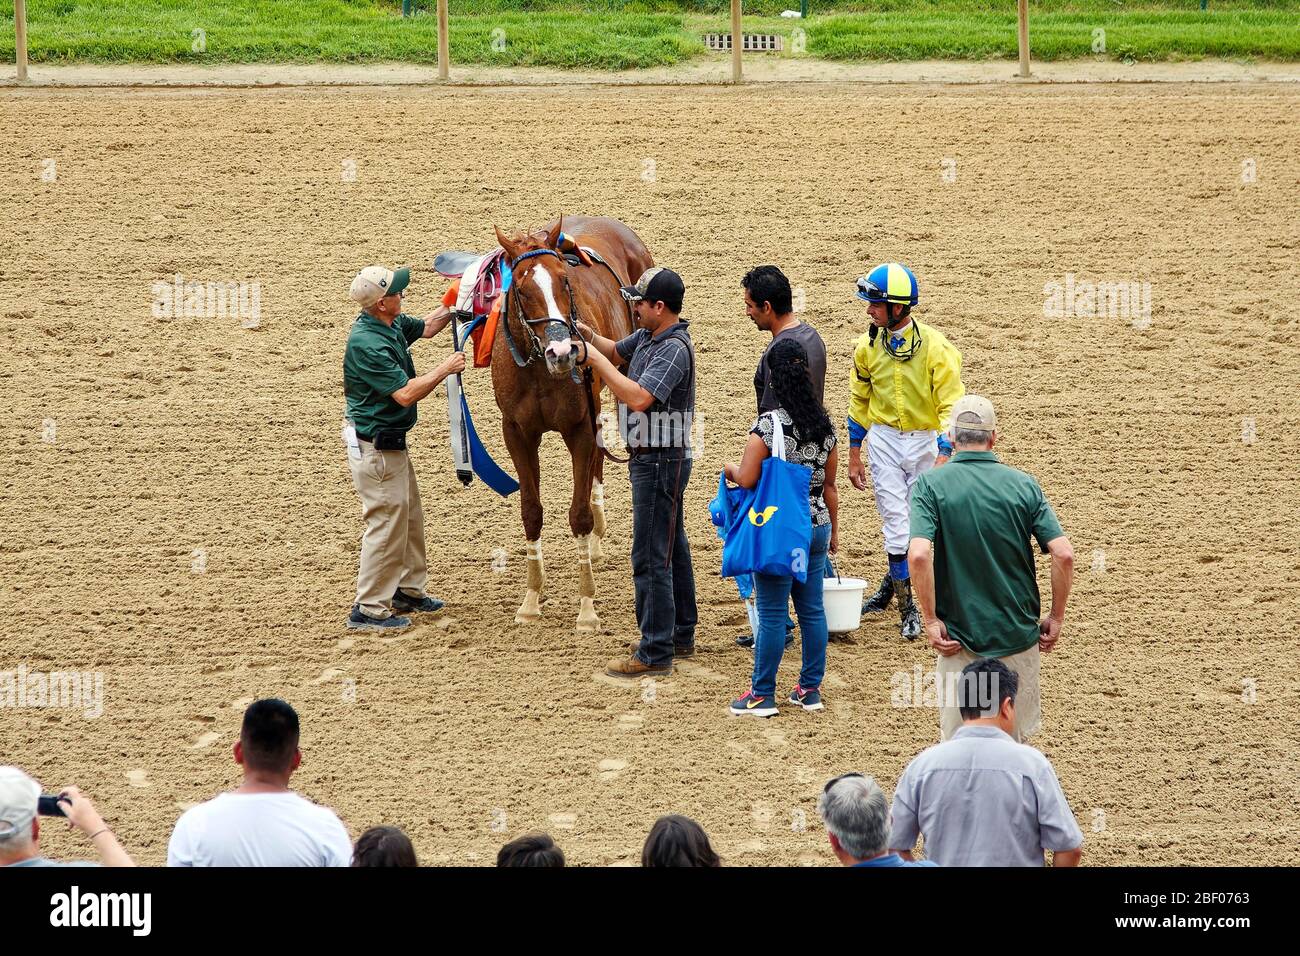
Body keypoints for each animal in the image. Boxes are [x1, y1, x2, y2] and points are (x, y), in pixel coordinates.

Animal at [491, 215, 653, 633]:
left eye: (565, 280)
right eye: (521, 289)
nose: (563, 351)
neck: (539, 372)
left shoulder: (579, 427)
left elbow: (578, 514)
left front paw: (586, 608)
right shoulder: (517, 434)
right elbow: (531, 511)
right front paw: (531, 600)